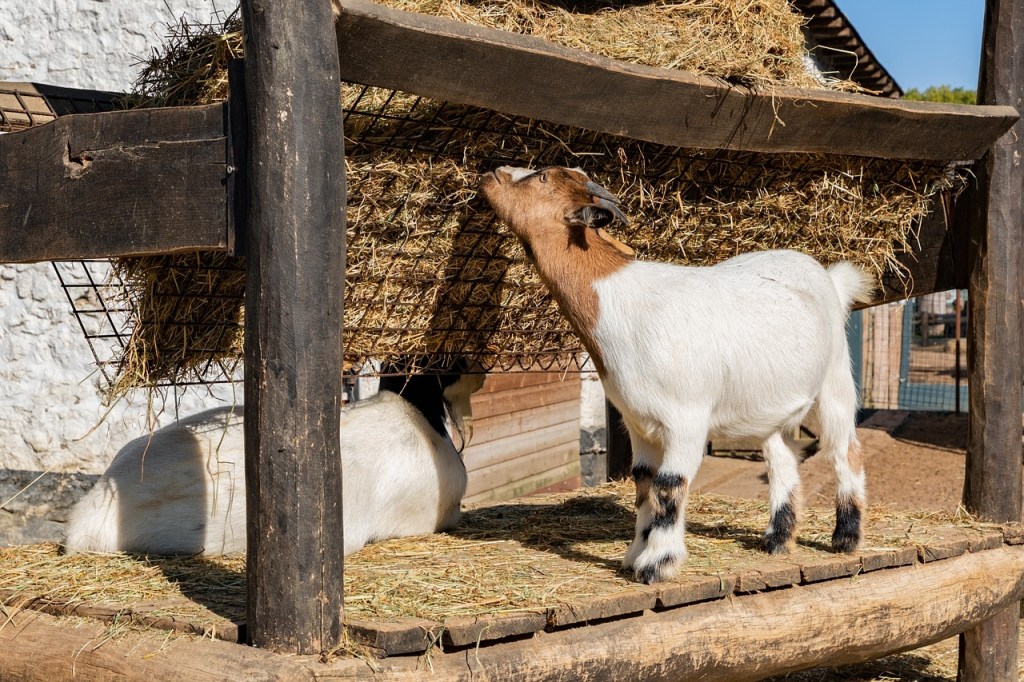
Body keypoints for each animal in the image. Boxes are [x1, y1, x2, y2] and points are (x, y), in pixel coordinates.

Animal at [479, 166, 873, 583]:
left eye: (542, 179)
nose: (493, 173)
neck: (621, 302)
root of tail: (830, 278)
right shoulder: (637, 422)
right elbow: (643, 483)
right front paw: (634, 554)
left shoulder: (687, 419)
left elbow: (668, 487)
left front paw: (657, 564)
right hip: (771, 406)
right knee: (783, 460)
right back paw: (777, 539)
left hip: (834, 379)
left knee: (845, 450)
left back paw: (846, 538)